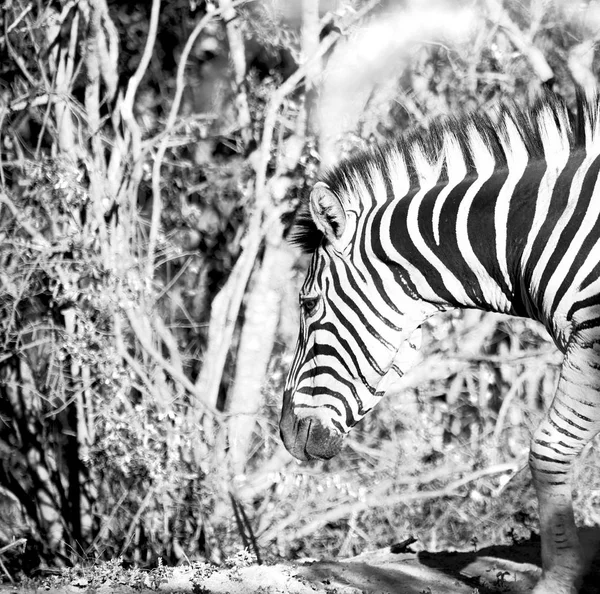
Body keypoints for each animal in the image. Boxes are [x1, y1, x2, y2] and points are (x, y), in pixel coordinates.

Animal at [278, 92, 600, 592]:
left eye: (309, 304)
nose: (286, 435)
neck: (537, 231)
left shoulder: (590, 338)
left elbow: (548, 451)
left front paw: (558, 581)